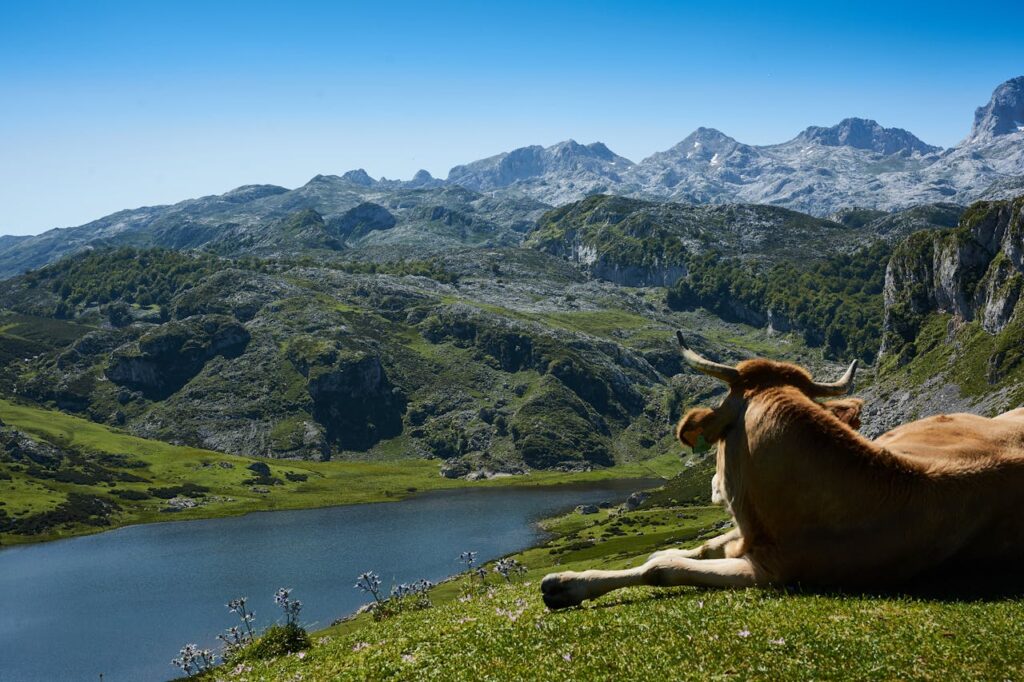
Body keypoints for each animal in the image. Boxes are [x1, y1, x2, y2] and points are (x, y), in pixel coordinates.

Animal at [540, 331, 1024, 609]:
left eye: (718, 437)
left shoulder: (769, 572)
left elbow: (662, 568)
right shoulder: (743, 538)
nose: (713, 486)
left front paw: (567, 584)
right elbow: (689, 550)